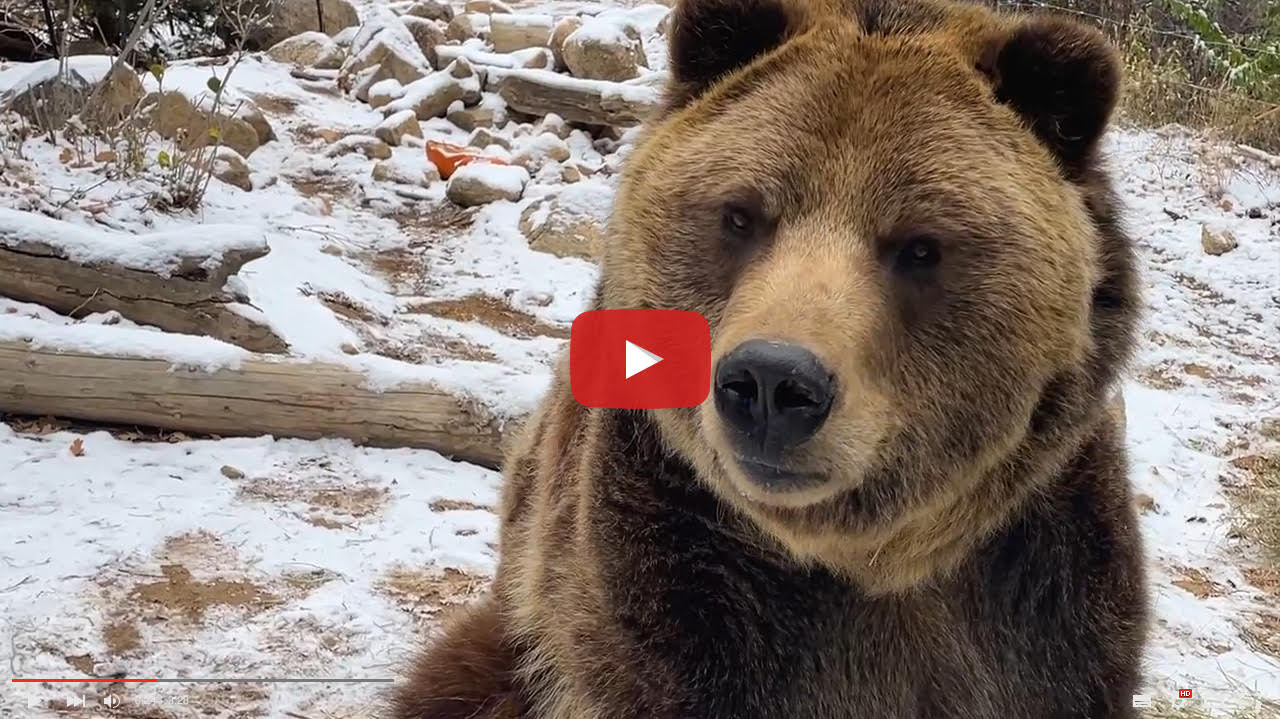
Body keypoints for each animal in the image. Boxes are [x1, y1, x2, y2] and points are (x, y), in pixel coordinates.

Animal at [391, 0, 1147, 716]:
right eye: (740, 214)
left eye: (920, 245)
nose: (771, 382)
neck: (876, 564)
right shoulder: (673, 586)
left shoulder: (1044, 594)